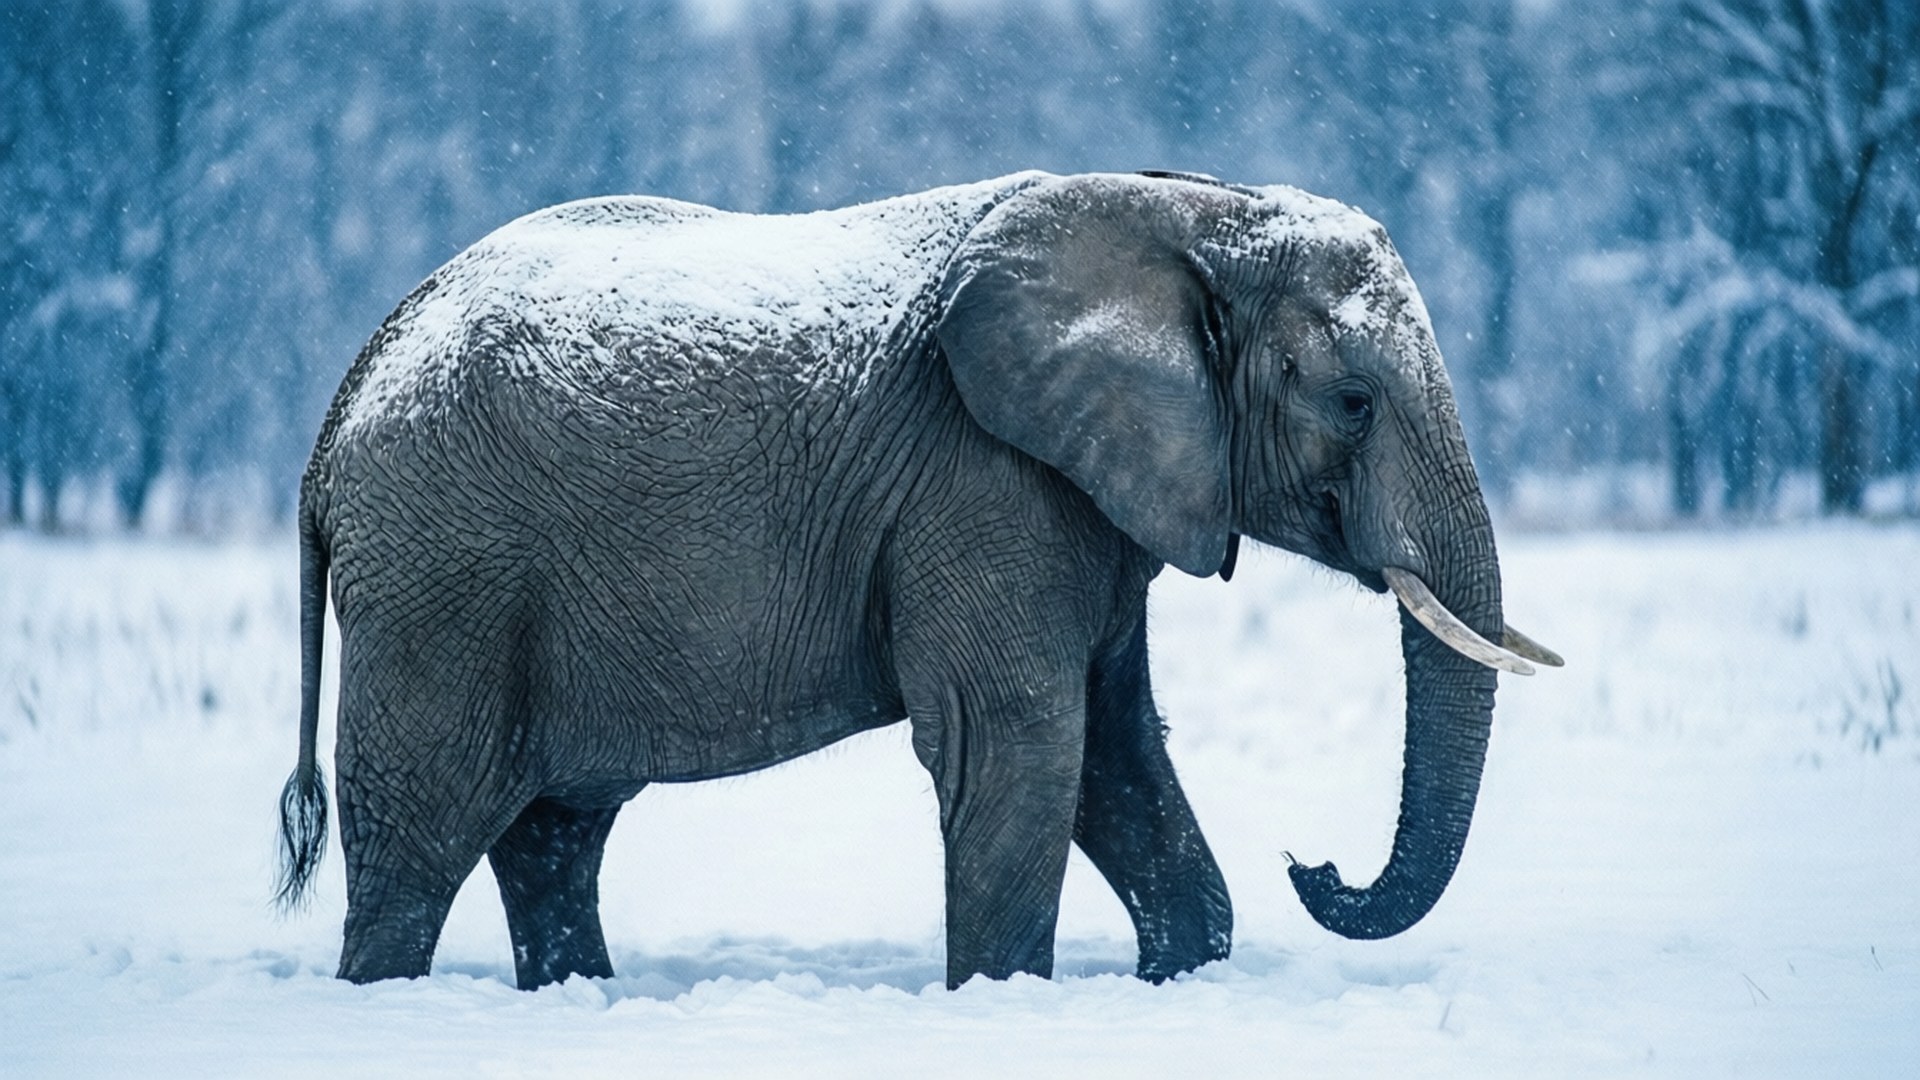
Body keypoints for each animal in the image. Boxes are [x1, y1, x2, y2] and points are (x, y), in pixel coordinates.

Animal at [275, 169, 1561, 992]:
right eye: (1352, 401)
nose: (1314, 863)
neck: (1195, 209)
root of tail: (343, 406)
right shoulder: (982, 482)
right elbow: (1021, 742)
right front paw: (1001, 1002)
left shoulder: (1083, 494)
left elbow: (1117, 747)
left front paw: (1178, 977)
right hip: (443, 580)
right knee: (421, 837)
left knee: (554, 834)